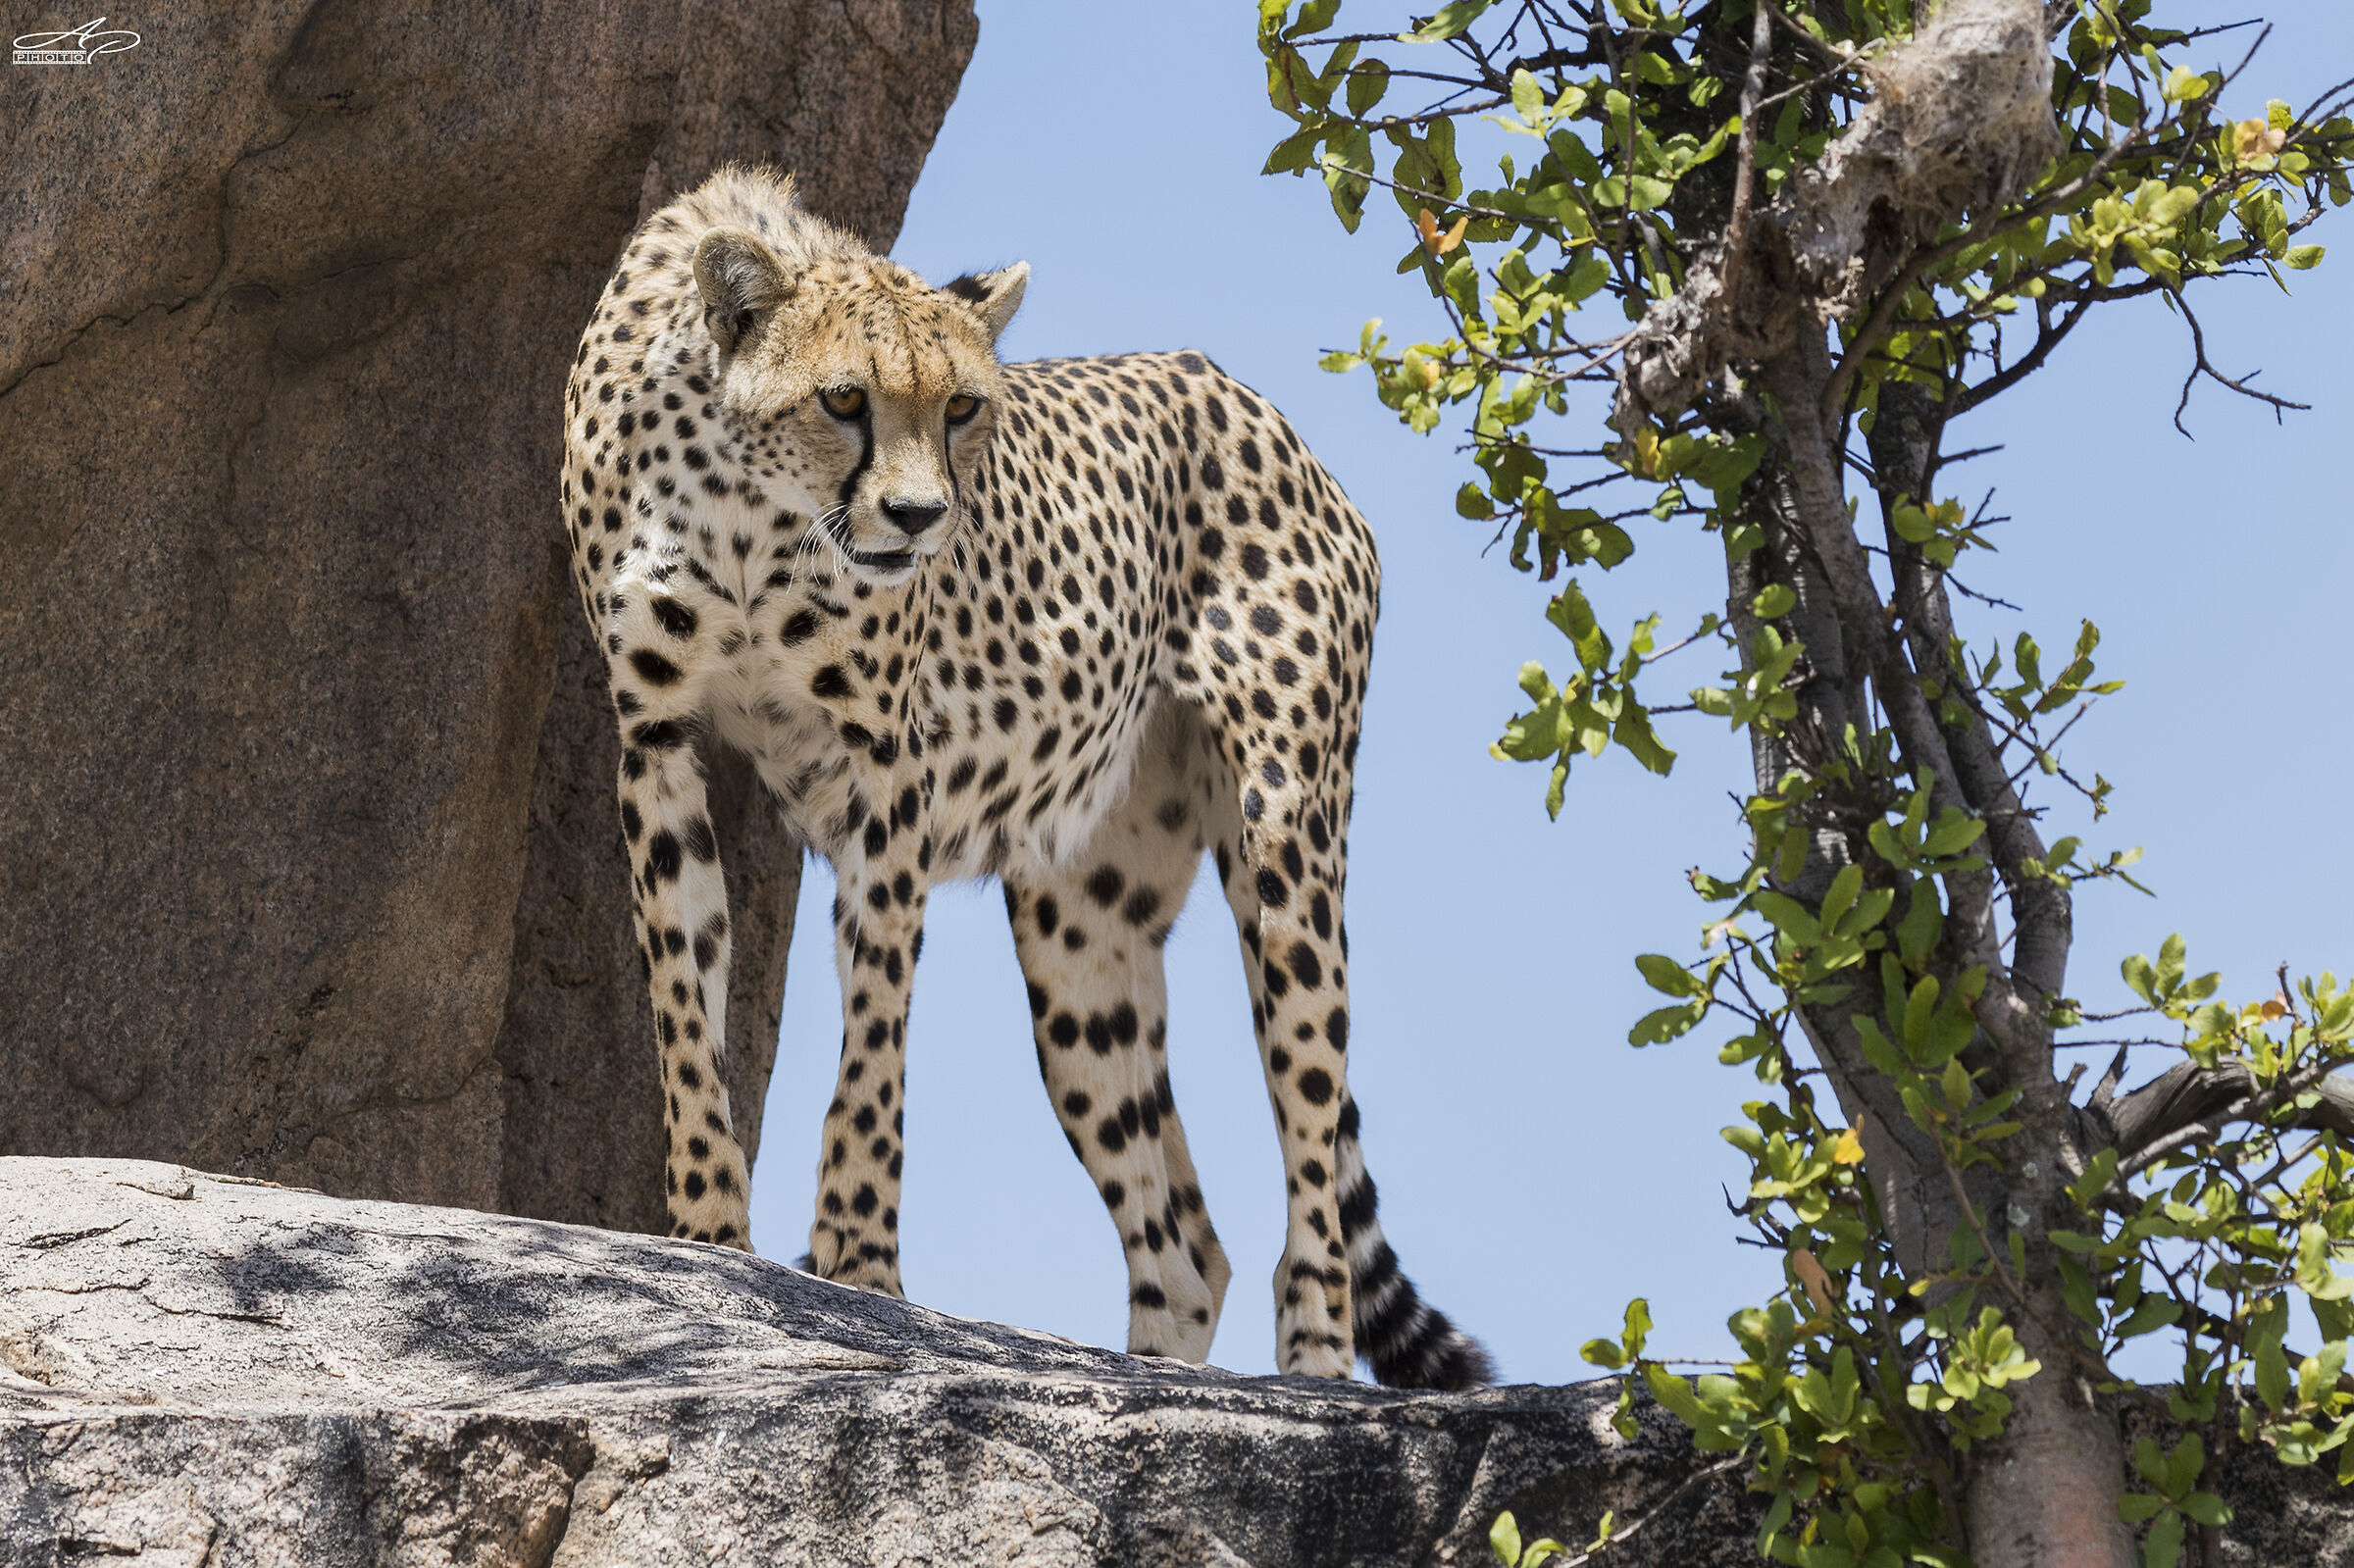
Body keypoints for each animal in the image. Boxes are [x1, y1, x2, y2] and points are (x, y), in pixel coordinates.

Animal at [559, 164, 1489, 1388]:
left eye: (962, 408)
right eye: (843, 401)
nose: (919, 518)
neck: (751, 505)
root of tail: (1243, 397)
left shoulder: (886, 768)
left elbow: (875, 1041)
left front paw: (860, 1260)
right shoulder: (656, 736)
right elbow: (682, 1003)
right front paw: (711, 1226)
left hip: (1287, 842)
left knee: (1311, 1166)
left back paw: (1316, 1377)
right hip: (1081, 931)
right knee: (1184, 1243)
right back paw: (1146, 1379)